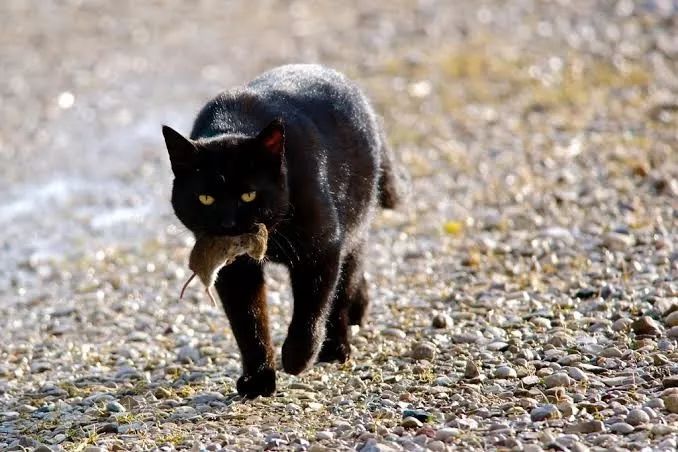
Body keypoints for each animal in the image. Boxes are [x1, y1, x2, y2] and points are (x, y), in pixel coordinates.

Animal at [163, 64, 410, 400]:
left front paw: (296, 357)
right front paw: (258, 380)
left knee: (345, 281)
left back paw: (336, 347)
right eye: (205, 199)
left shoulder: (321, 249)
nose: (228, 224)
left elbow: (311, 309)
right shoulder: (236, 272)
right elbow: (249, 323)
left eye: (249, 195)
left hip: (353, 223)